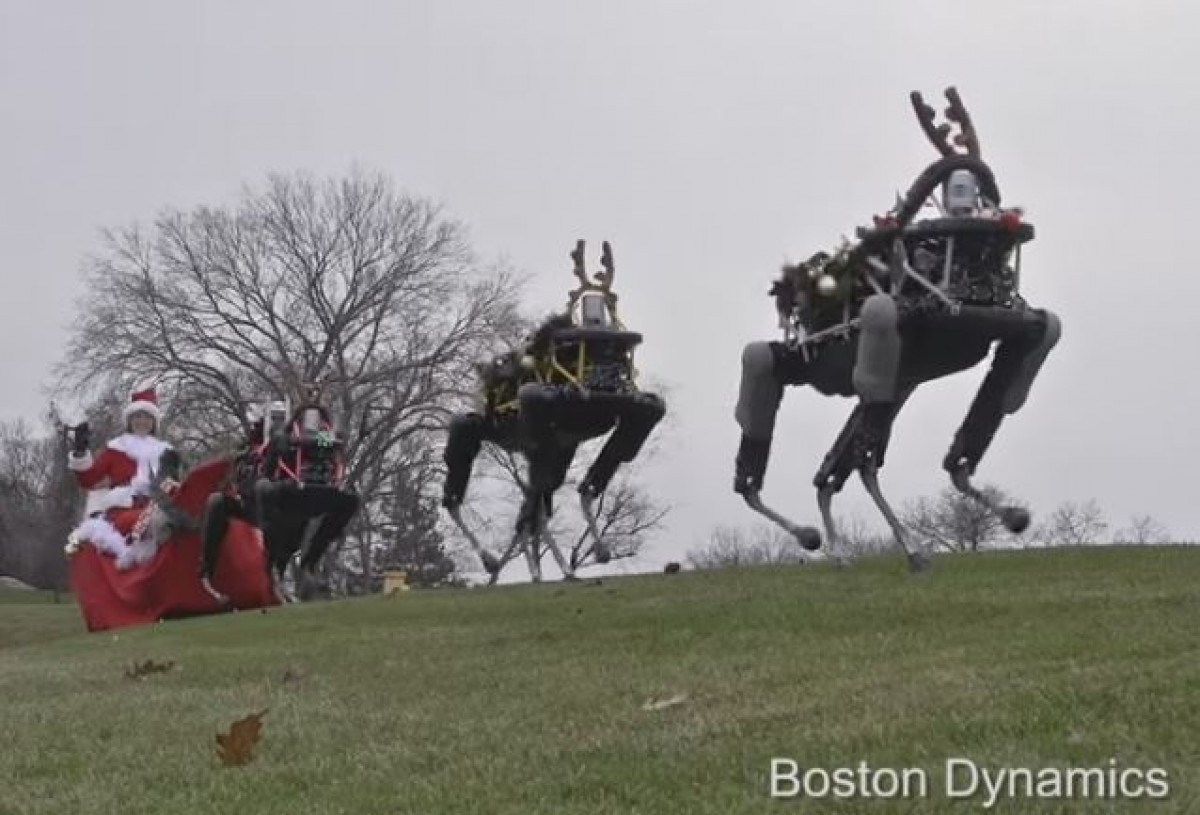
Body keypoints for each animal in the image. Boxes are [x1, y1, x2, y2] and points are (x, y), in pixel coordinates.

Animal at [441, 238, 667, 583]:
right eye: (579, 345)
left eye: (618, 349)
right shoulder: (540, 411)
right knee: (458, 494)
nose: (611, 374)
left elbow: (633, 431)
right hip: (480, 430)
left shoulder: (619, 414)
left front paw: (596, 549)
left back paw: (548, 569)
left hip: (560, 450)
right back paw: (493, 562)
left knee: (535, 510)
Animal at [729, 89, 1060, 571]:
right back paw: (821, 536)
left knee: (833, 473)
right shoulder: (886, 323)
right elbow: (866, 453)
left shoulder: (1010, 327)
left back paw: (849, 548)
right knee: (763, 366)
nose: (1004, 219)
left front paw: (1008, 513)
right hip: (820, 362)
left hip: (903, 381)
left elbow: (1038, 336)